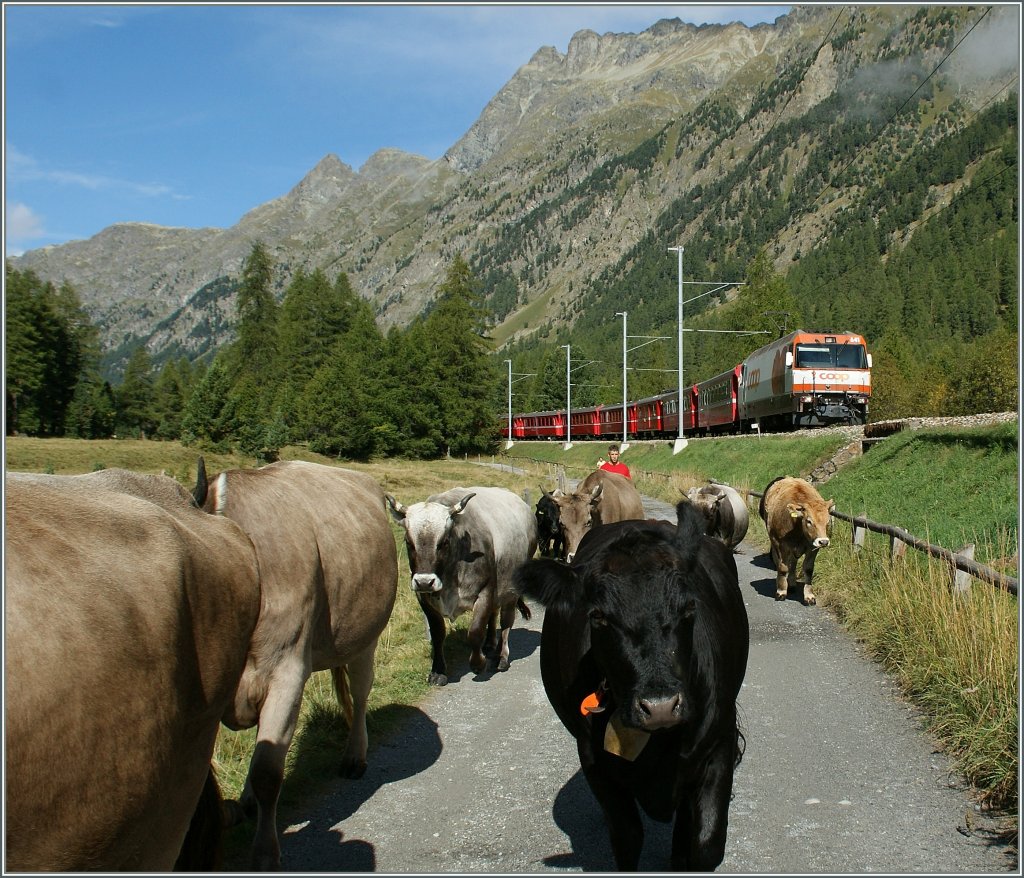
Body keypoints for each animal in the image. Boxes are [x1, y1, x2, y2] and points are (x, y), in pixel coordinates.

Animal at [196, 458, 399, 868]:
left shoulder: (286, 671)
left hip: (365, 637)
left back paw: (355, 756)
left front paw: (264, 854)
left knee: (360, 692)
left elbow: (268, 772)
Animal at [516, 499, 749, 868]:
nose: (660, 707)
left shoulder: (718, 742)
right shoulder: (594, 759)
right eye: (597, 615)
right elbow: (627, 838)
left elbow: (705, 843)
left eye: (689, 607)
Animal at [761, 475, 831, 606]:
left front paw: (809, 596)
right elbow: (783, 567)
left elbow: (808, 569)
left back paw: (792, 584)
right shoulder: (781, 545)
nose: (823, 541)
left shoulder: (813, 547)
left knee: (793, 563)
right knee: (780, 563)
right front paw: (781, 592)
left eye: (828, 521)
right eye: (809, 521)